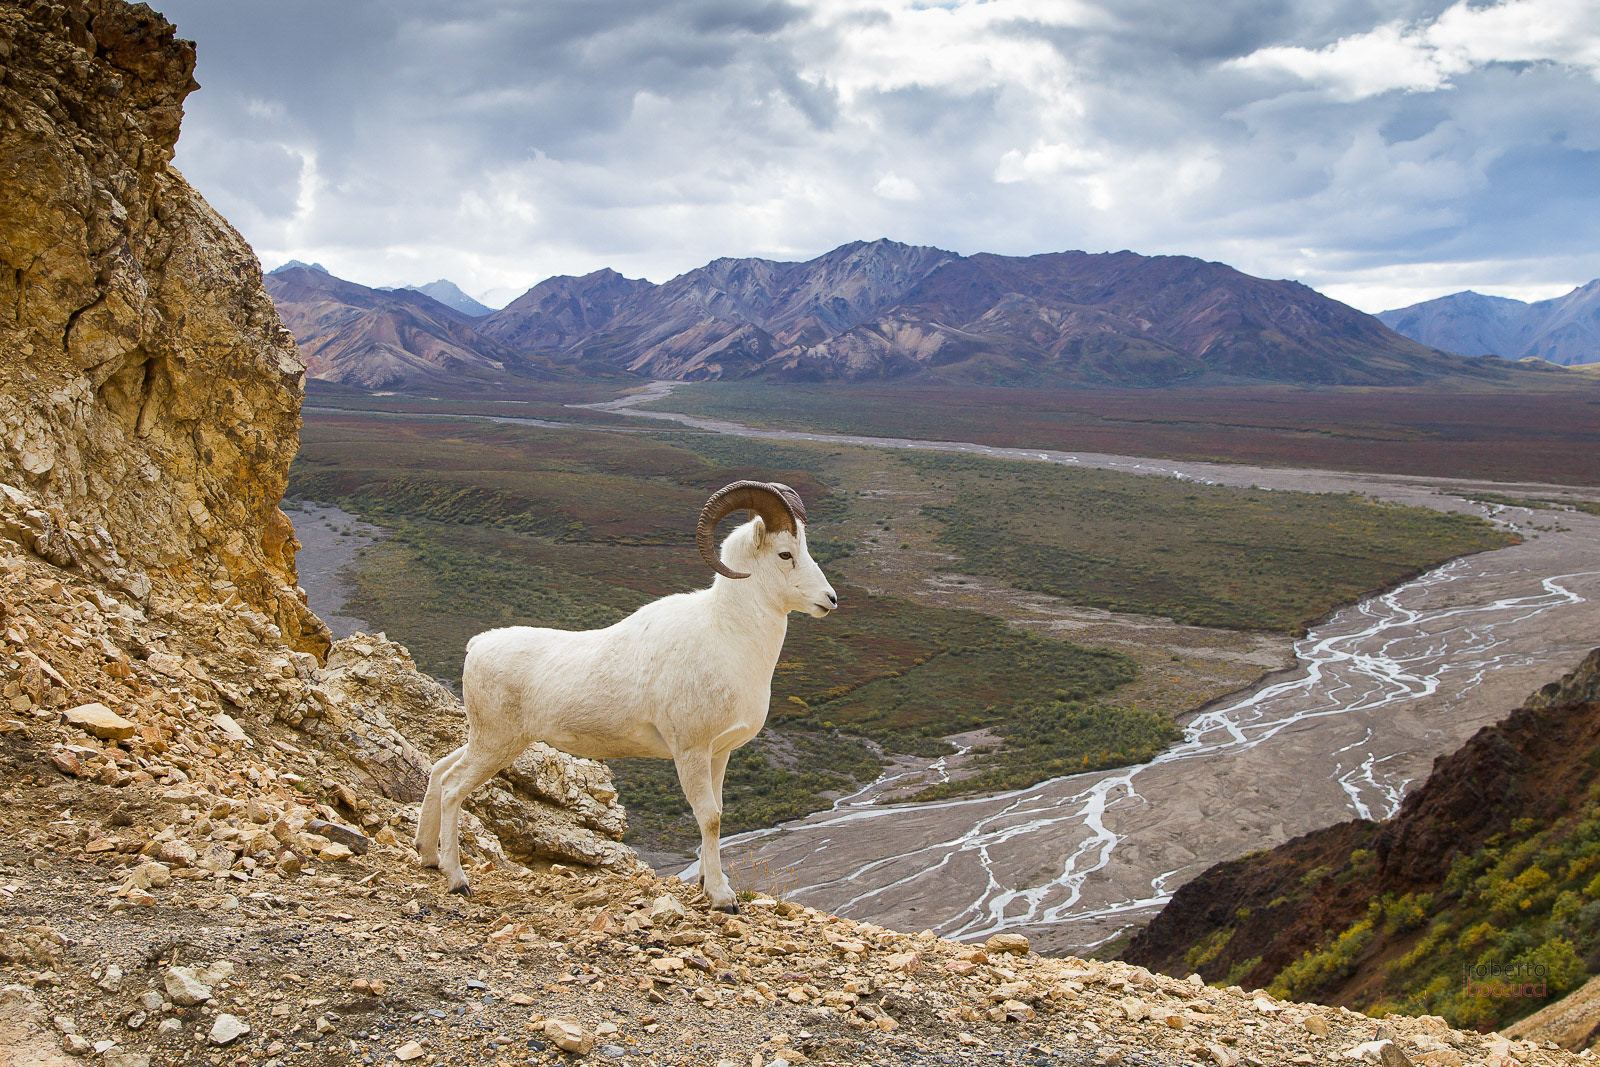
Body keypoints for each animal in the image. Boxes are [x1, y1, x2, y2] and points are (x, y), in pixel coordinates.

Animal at [414, 480, 838, 909]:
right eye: (785, 554)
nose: (830, 599)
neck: (728, 637)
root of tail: (477, 647)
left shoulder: (719, 754)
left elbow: (716, 815)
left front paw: (707, 883)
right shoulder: (690, 752)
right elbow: (709, 817)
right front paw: (722, 898)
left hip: (489, 740)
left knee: (439, 770)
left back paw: (429, 857)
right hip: (496, 744)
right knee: (452, 789)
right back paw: (457, 880)